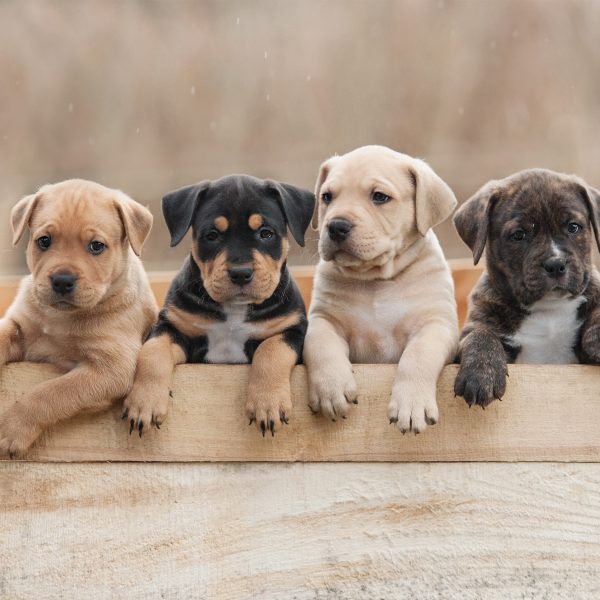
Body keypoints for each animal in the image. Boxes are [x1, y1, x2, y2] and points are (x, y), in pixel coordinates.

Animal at [0, 180, 157, 458]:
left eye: (96, 246)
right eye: (44, 241)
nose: (62, 281)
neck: (60, 317)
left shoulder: (110, 369)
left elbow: (49, 393)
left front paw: (12, 428)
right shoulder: (18, 325)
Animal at [124, 173, 316, 436]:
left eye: (266, 234)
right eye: (212, 235)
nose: (241, 273)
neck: (234, 309)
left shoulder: (293, 330)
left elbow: (271, 350)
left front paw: (267, 404)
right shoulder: (172, 329)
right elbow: (152, 353)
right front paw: (144, 403)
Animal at [304, 148, 460, 434]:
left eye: (379, 197)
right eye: (327, 197)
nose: (336, 225)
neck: (376, 280)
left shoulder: (436, 324)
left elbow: (418, 355)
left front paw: (412, 404)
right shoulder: (323, 319)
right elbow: (320, 345)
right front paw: (331, 389)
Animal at [452, 166, 600, 406]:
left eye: (573, 227)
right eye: (519, 235)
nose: (556, 264)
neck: (548, 309)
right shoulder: (473, 327)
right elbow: (480, 335)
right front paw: (480, 374)